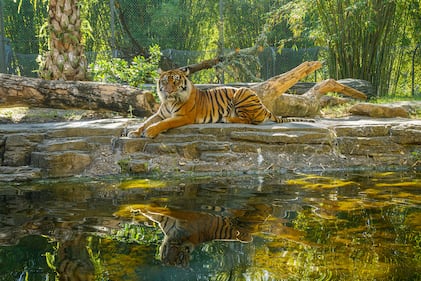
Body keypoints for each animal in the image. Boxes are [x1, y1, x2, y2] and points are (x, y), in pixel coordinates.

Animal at [126, 68, 314, 138]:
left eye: (176, 81)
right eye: (165, 81)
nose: (169, 91)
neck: (170, 102)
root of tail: (263, 106)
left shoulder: (183, 117)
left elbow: (163, 124)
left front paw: (150, 132)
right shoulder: (159, 114)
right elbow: (145, 121)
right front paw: (134, 132)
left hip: (242, 92)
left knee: (251, 120)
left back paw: (228, 119)